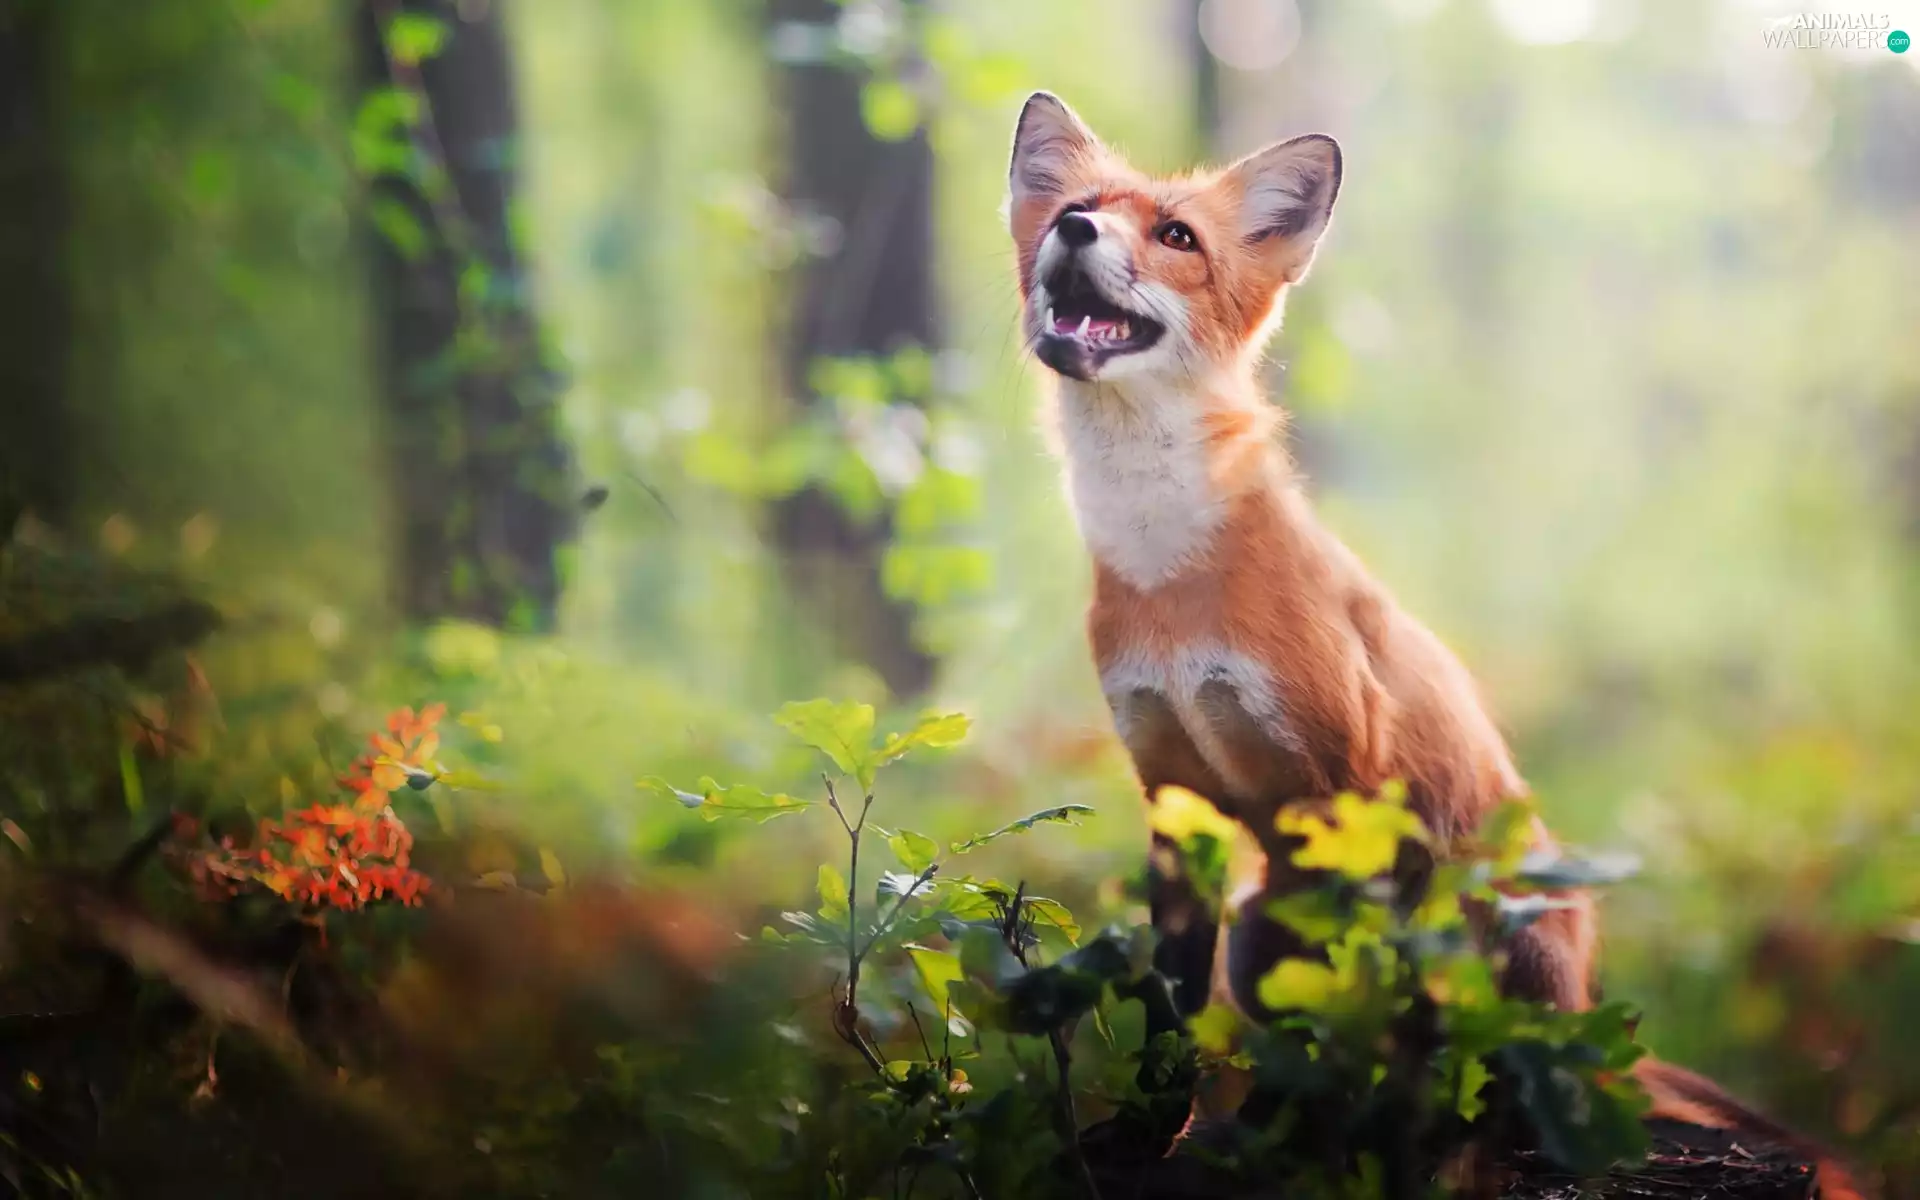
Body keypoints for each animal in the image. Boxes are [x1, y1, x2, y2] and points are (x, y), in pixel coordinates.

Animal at [1004, 90, 1867, 1197]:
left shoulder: (1341, 788)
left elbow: (1333, 1004)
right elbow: (1170, 1008)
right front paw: (1155, 1138)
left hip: (1490, 925)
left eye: (1177, 236)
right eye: (1072, 209)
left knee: (1508, 1076)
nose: (1073, 232)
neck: (1171, 581)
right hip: (1258, 917)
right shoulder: (1174, 797)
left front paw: (1280, 1140)